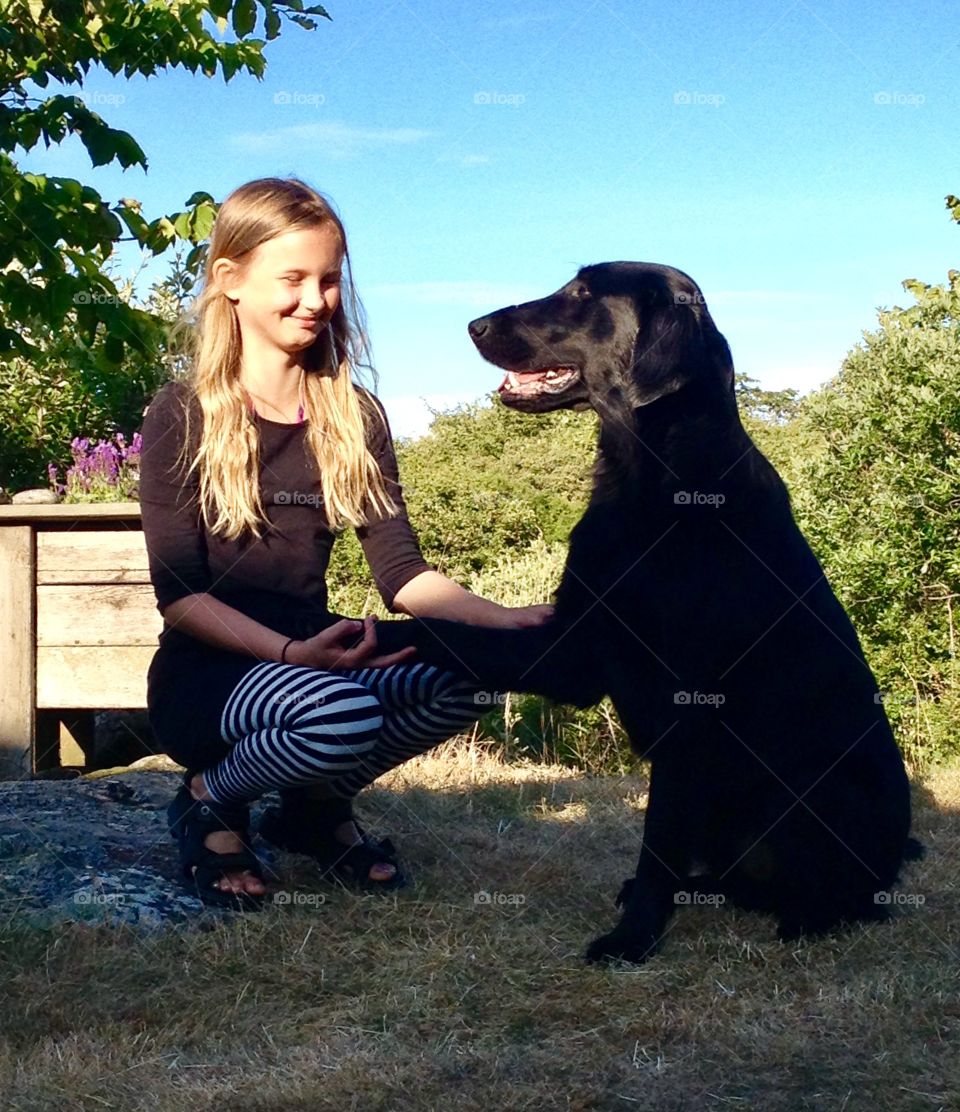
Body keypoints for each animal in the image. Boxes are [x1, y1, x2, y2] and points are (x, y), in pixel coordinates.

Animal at [373, 262, 916, 965]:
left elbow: (657, 843)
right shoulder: (577, 649)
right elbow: (436, 630)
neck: (652, 480)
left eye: (582, 293)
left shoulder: (685, 714)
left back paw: (805, 918)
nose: (474, 324)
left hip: (811, 794)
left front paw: (631, 941)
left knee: (843, 896)